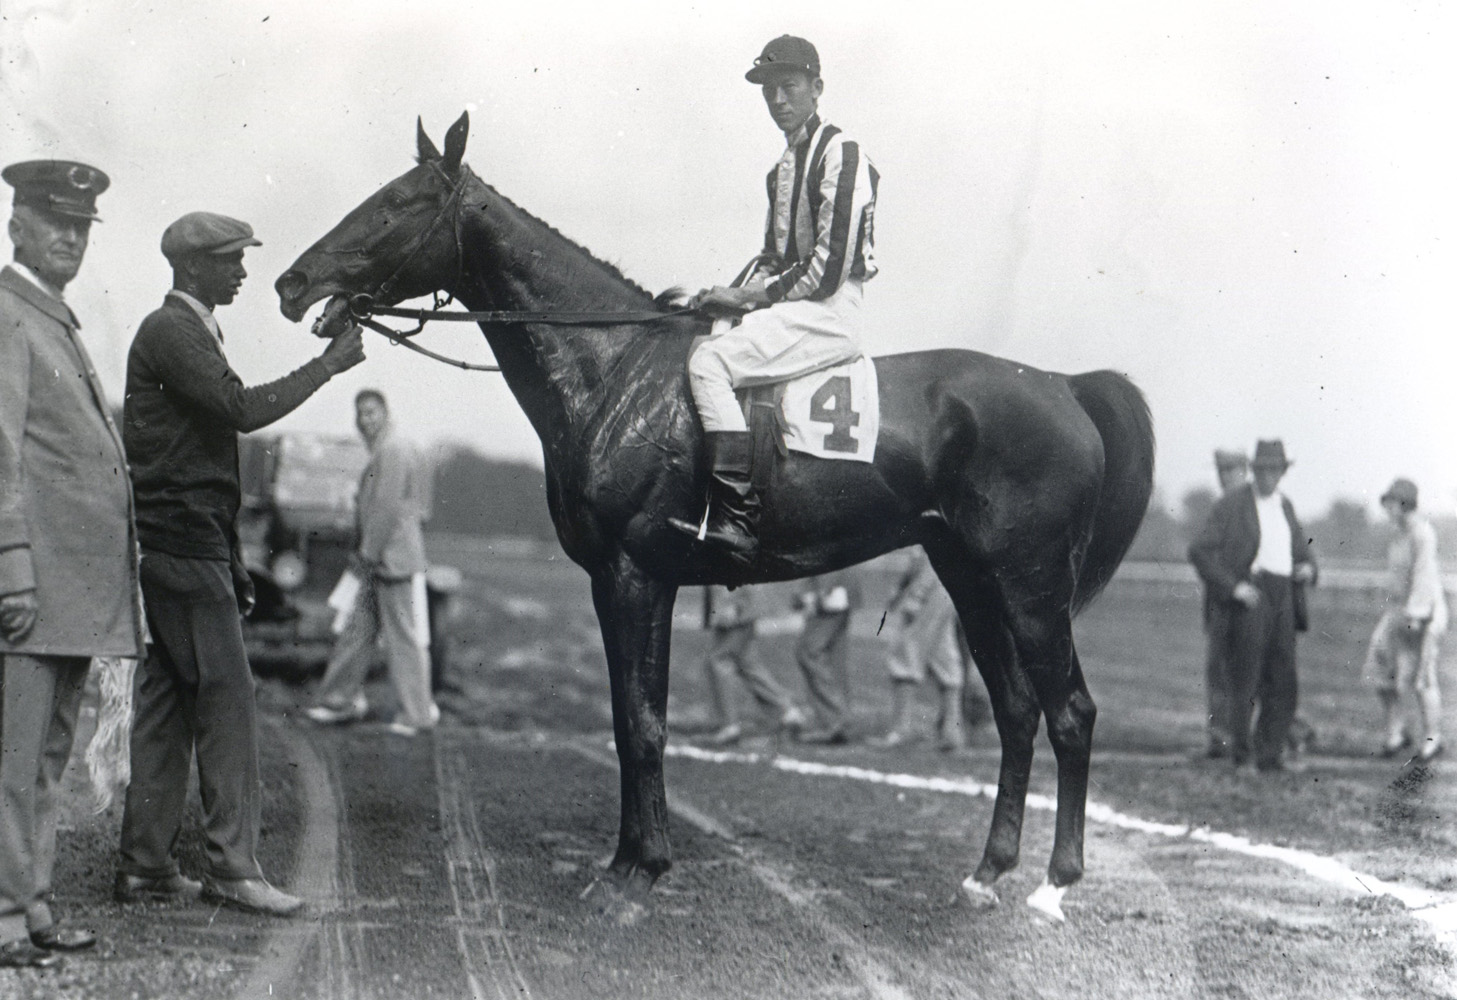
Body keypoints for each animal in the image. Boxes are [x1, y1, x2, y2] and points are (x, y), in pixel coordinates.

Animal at [278, 111, 1153, 927]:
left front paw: (636, 873)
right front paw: (630, 860)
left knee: (1070, 713)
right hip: (970, 582)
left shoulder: (636, 576)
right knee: (1015, 711)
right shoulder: (620, 581)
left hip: (1030, 588)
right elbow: (630, 718)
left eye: (398, 203)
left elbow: (642, 722)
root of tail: (1062, 385)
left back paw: (1052, 886)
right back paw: (985, 873)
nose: (292, 282)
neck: (615, 372)